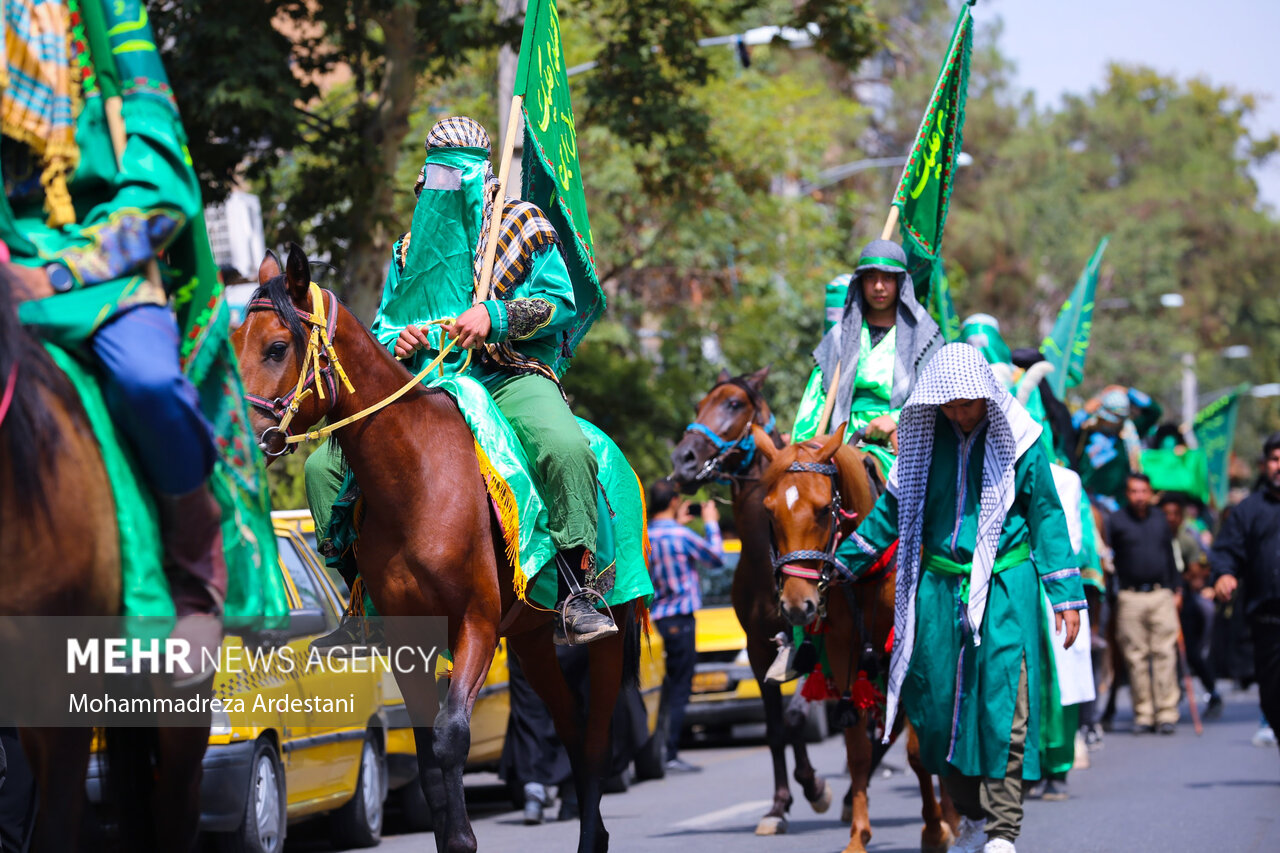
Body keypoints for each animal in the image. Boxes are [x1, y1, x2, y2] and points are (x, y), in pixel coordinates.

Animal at [232, 244, 640, 850]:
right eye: (235, 339)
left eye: (277, 346)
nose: (230, 436)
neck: (417, 480)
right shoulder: (409, 639)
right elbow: (427, 758)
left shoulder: (476, 623)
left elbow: (451, 737)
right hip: (532, 639)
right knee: (568, 723)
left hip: (612, 632)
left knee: (593, 734)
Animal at [665, 366, 834, 829]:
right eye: (698, 404)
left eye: (734, 404)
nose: (683, 460)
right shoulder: (760, 649)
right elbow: (776, 728)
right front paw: (779, 805)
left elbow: (795, 716)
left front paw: (815, 788)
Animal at [752, 425, 957, 850]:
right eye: (769, 511)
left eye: (822, 509)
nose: (798, 604)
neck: (867, 573)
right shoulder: (844, 654)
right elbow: (858, 752)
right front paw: (858, 836)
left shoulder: (909, 655)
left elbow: (917, 751)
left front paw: (935, 829)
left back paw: (952, 814)